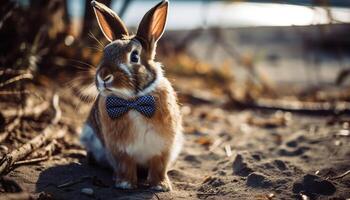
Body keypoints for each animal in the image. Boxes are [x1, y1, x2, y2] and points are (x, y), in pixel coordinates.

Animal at [79, 0, 183, 191]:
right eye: (105, 52)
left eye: (134, 56)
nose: (103, 76)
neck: (133, 101)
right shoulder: (120, 151)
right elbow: (125, 165)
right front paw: (125, 184)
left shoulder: (163, 148)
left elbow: (159, 166)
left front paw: (161, 186)